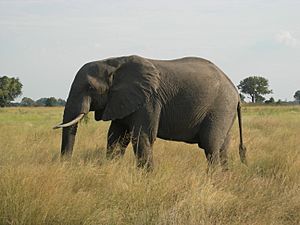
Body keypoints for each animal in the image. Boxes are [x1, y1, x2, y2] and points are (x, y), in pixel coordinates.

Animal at [54, 55, 246, 170]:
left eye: (90, 88)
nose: (66, 165)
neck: (113, 62)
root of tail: (235, 92)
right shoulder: (121, 101)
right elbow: (115, 138)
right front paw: (110, 170)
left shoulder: (149, 101)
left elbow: (141, 137)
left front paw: (147, 179)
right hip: (225, 112)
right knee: (222, 146)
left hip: (220, 108)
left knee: (210, 145)